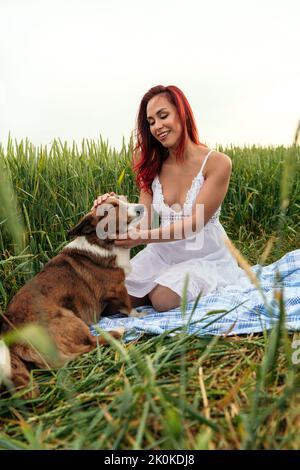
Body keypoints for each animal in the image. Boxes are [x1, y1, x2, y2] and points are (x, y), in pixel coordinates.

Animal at [0, 195, 145, 396]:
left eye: (123, 200)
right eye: (113, 207)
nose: (142, 207)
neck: (101, 242)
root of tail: (13, 338)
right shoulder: (117, 288)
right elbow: (129, 306)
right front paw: (139, 315)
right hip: (71, 318)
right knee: (91, 342)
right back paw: (119, 330)